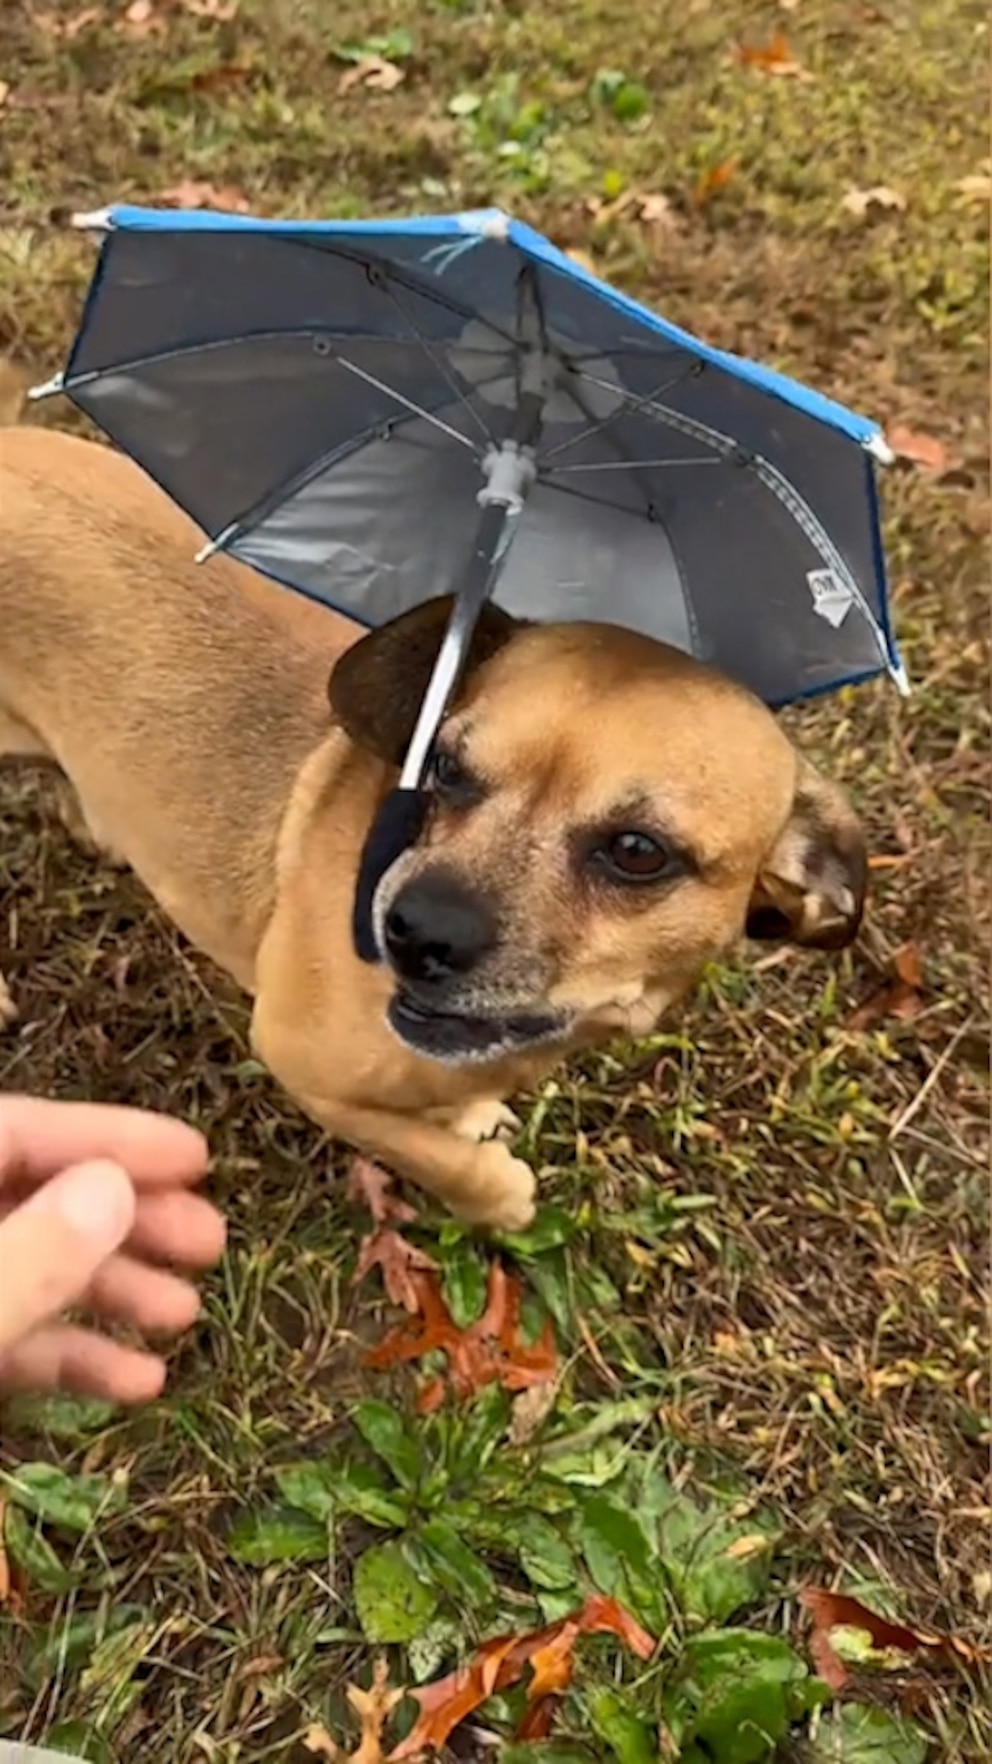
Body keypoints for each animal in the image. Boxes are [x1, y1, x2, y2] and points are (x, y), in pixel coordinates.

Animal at [0, 426, 861, 1227]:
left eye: (637, 852)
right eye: (443, 764)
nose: (412, 932)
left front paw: (467, 1115)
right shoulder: (297, 1057)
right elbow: (434, 1156)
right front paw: (496, 1196)